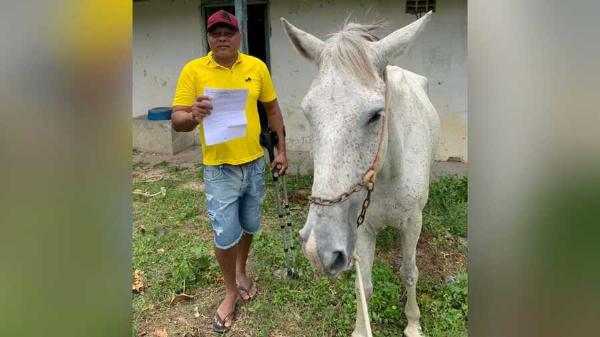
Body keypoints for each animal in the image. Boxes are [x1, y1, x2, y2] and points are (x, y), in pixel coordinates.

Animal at [282, 11, 440, 334]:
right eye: (307, 113)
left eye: (376, 115)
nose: (318, 249)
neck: (387, 176)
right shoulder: (363, 228)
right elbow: (363, 285)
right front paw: (360, 328)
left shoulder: (412, 222)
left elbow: (410, 272)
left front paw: (413, 324)